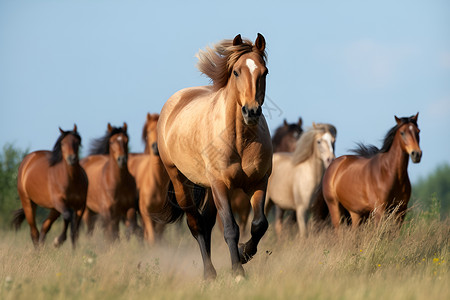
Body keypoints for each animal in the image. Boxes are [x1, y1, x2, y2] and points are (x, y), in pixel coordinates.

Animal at [156, 32, 272, 278]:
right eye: (236, 71)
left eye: (264, 71)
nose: (251, 112)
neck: (240, 140)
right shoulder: (220, 184)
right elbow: (230, 228)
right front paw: (238, 271)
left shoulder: (259, 182)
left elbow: (259, 224)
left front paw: (244, 253)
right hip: (180, 182)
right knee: (196, 225)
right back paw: (209, 274)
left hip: (208, 187)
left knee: (207, 223)